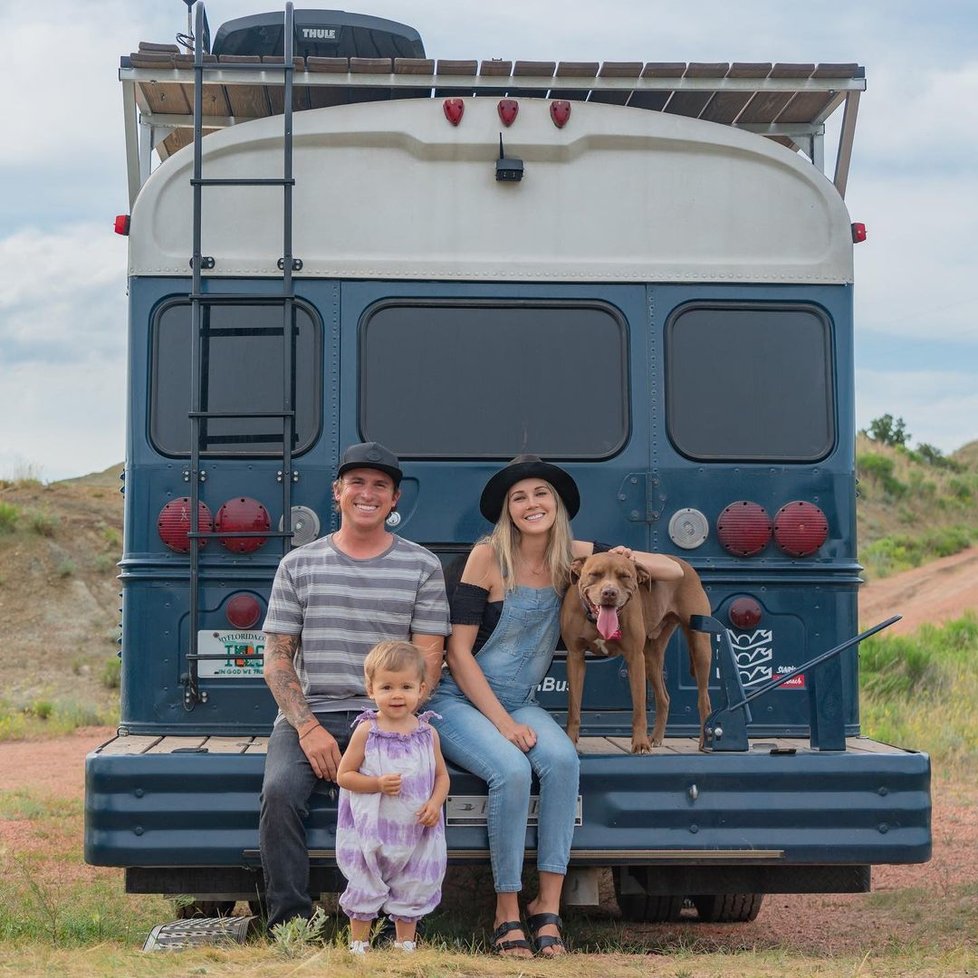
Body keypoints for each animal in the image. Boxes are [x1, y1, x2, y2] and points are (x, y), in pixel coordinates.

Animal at [560, 552, 712, 752]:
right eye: (595, 574)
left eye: (625, 576)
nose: (609, 593)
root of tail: (684, 564)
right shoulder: (575, 657)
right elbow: (574, 706)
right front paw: (570, 739)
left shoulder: (635, 658)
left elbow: (639, 707)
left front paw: (640, 743)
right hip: (652, 658)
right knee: (664, 698)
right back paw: (656, 738)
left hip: (700, 648)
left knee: (703, 699)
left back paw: (705, 742)